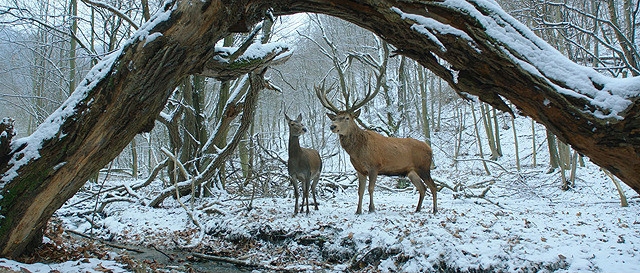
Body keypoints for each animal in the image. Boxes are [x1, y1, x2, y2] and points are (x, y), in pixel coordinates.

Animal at [316, 82, 440, 214]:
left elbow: (371, 188)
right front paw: (358, 211)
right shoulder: (360, 170)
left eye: (347, 118)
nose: (333, 126)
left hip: (424, 168)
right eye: (334, 118)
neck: (357, 152)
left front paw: (372, 209)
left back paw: (435, 210)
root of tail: (430, 149)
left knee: (433, 186)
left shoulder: (374, 166)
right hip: (411, 171)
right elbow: (360, 191)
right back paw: (417, 209)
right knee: (422, 188)